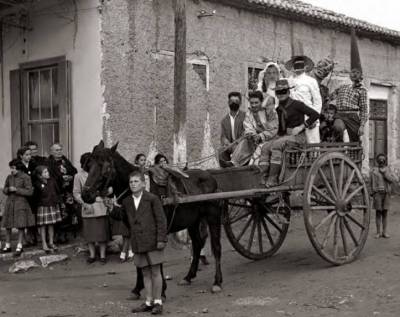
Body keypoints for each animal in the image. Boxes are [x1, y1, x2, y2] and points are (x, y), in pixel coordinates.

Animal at [81, 139, 223, 292]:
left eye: (106, 167)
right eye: (89, 165)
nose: (86, 194)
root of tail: (211, 177)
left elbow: (156, 259)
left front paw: (160, 287)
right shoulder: (134, 229)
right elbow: (139, 258)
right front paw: (138, 287)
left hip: (213, 216)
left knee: (216, 246)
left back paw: (217, 281)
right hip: (193, 221)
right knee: (197, 244)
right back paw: (188, 277)